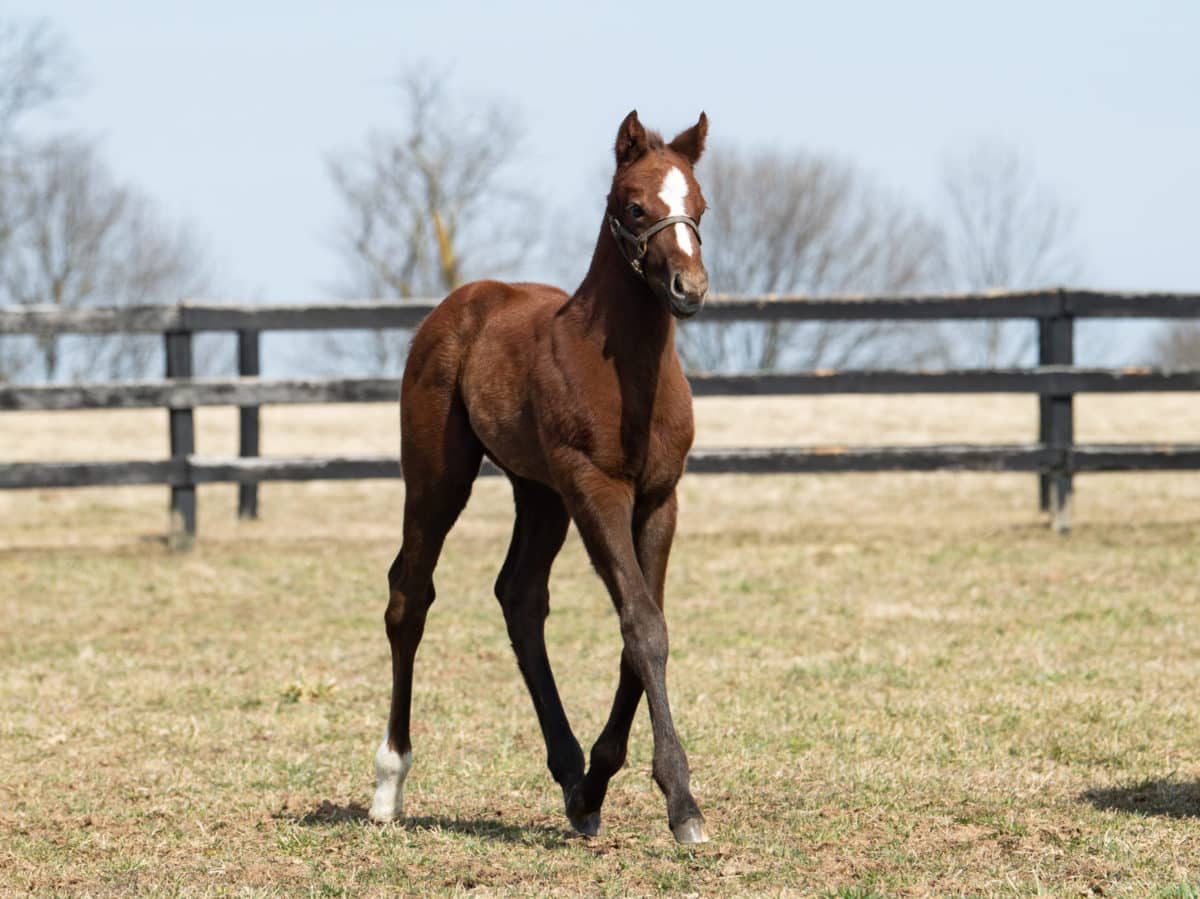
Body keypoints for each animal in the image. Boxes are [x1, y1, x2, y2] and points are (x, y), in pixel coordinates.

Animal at [369, 108, 710, 844]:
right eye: (634, 205)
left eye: (699, 206)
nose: (690, 291)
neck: (625, 370)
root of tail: (458, 306)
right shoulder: (596, 488)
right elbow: (643, 624)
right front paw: (682, 803)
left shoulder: (659, 498)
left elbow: (641, 629)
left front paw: (598, 783)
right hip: (439, 477)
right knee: (410, 595)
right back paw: (389, 782)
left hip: (540, 494)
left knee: (519, 597)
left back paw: (572, 778)